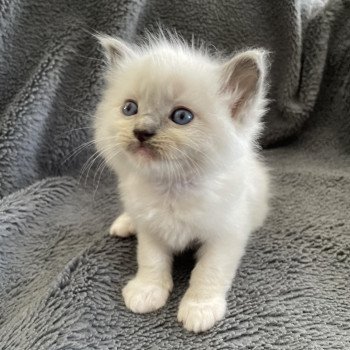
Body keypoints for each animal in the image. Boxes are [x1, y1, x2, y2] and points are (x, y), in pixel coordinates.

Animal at [93, 33, 270, 334]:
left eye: (181, 117)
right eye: (130, 109)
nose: (141, 131)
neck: (171, 188)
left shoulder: (225, 235)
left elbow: (208, 273)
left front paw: (200, 309)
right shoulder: (150, 228)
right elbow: (150, 261)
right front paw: (146, 292)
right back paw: (125, 224)